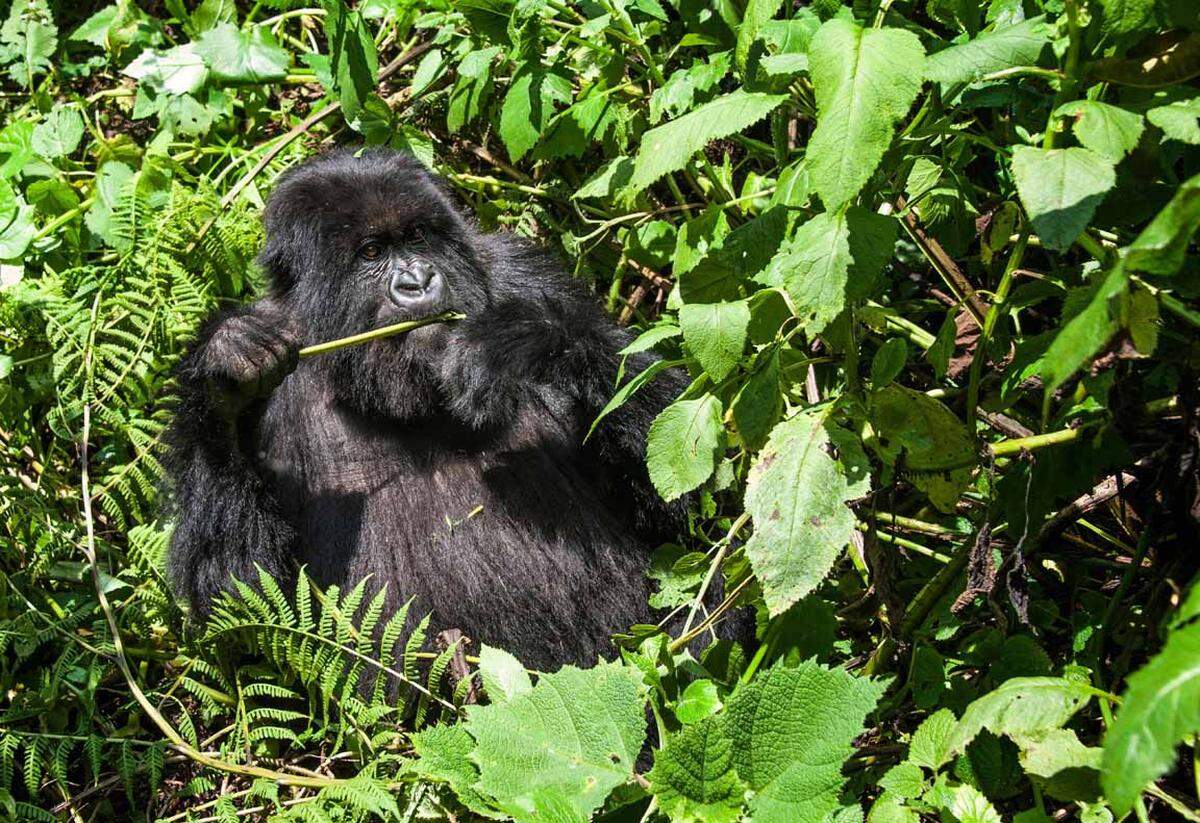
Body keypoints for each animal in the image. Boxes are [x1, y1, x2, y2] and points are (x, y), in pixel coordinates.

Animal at [166, 149, 696, 676]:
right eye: (371, 253)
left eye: (417, 236)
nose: (418, 280)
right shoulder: (276, 339)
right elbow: (243, 601)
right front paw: (227, 377)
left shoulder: (524, 272)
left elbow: (673, 499)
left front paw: (534, 336)